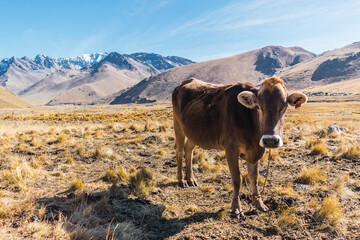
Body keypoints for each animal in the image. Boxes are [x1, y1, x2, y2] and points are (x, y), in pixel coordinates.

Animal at [172, 76, 306, 218]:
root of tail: (185, 82)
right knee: (179, 151)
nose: (270, 140)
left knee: (189, 150)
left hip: (193, 133)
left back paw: (191, 179)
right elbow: (237, 178)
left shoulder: (255, 151)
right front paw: (236, 208)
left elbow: (254, 178)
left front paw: (259, 204)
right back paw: (182, 180)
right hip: (178, 125)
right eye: (258, 107)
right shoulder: (230, 148)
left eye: (284, 107)